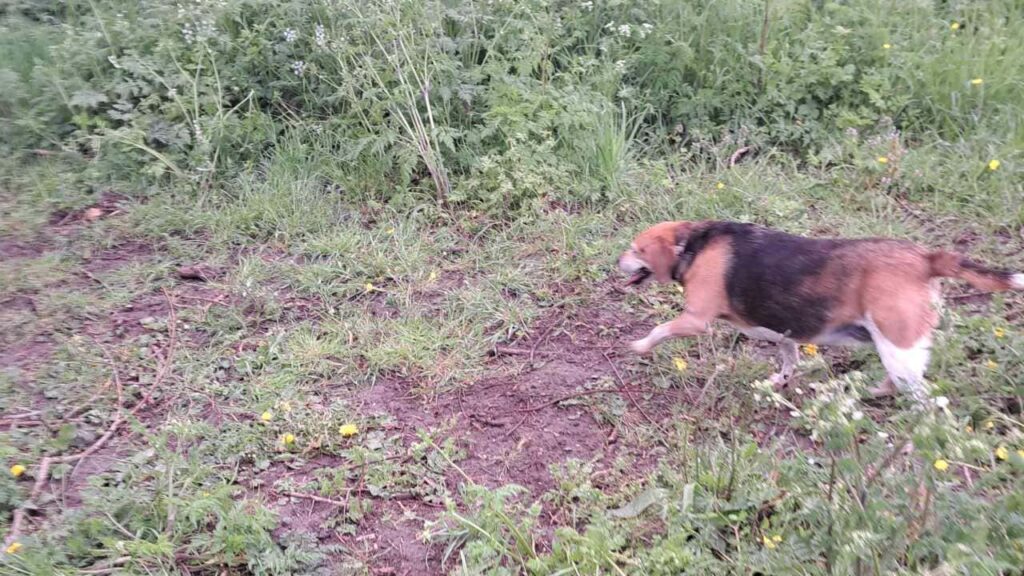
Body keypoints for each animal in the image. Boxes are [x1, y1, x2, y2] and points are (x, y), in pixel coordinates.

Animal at [614, 217, 1024, 401]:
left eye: (636, 249)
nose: (616, 261)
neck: (692, 245)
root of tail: (925, 258)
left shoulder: (695, 320)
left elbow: (659, 330)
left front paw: (639, 346)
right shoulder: (784, 332)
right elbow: (789, 357)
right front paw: (779, 382)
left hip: (899, 347)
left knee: (928, 401)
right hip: (893, 351)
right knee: (895, 384)